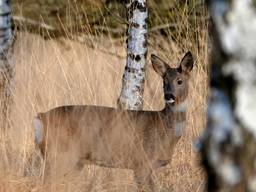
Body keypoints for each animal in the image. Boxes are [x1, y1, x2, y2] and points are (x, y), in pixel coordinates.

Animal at [33, 51, 193, 191]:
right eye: (164, 81)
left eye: (180, 81)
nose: (169, 96)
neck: (164, 128)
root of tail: (40, 117)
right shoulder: (142, 161)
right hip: (59, 153)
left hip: (71, 161)